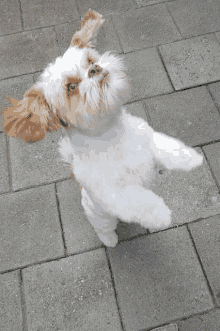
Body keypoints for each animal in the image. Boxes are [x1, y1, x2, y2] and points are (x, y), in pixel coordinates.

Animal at [2, 10, 202, 246]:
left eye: (90, 60)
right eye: (71, 86)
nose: (94, 69)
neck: (110, 136)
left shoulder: (147, 139)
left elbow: (168, 147)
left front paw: (191, 158)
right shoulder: (112, 192)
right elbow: (138, 201)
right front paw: (160, 214)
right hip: (100, 216)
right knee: (104, 229)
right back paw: (110, 240)